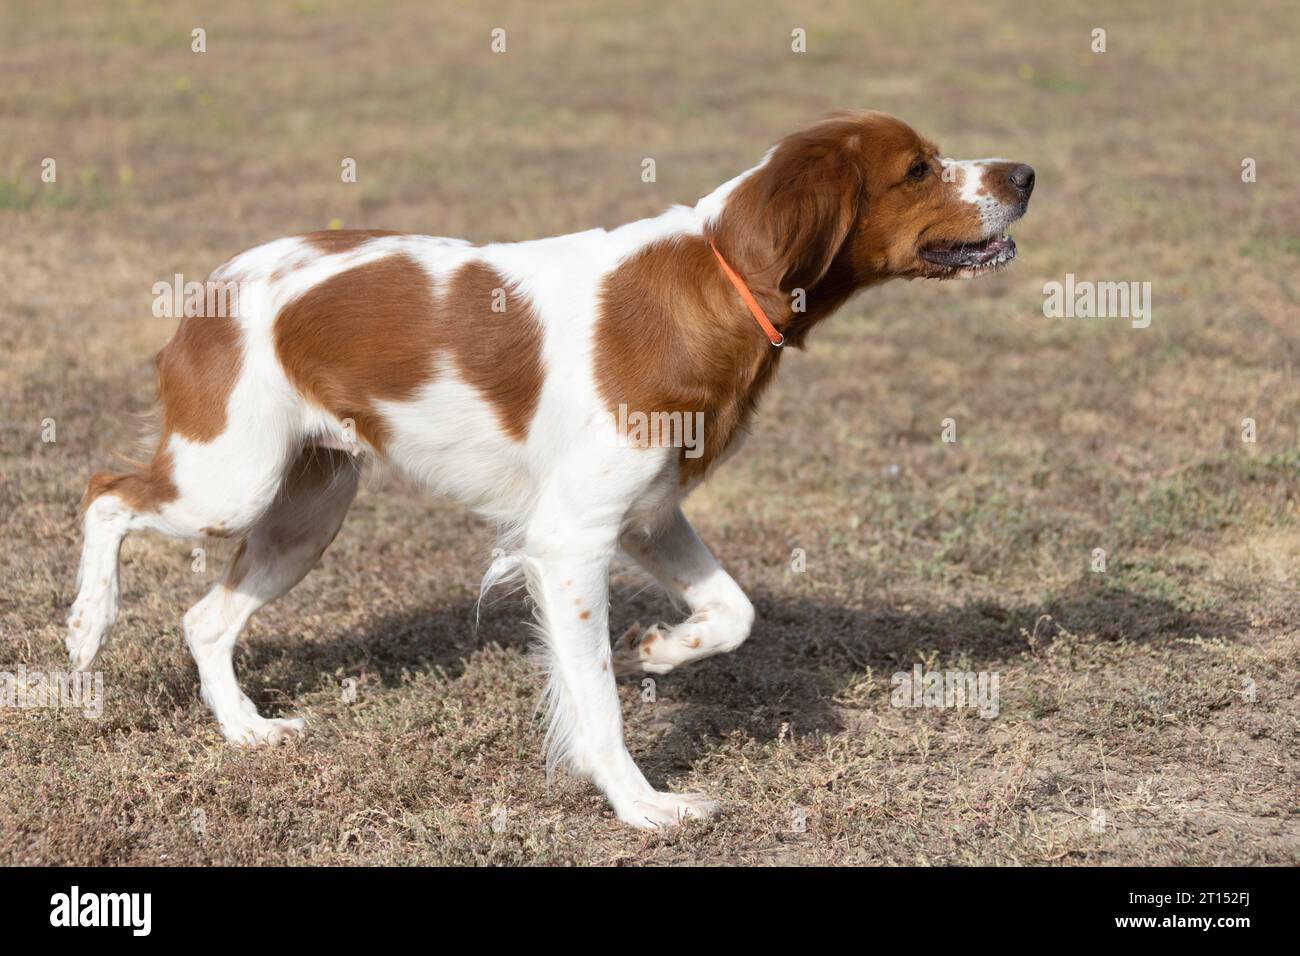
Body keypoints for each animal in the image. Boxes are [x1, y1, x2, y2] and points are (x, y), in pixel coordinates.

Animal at [68, 110, 1034, 832]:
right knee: (105, 495)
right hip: (229, 483)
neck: (720, 277)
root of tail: (214, 284)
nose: (1026, 174)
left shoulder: (646, 516)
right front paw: (644, 806)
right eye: (919, 168)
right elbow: (598, 704)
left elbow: (735, 611)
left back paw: (246, 730)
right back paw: (84, 628)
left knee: (204, 619)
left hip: (307, 511)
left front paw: (665, 648)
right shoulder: (571, 541)